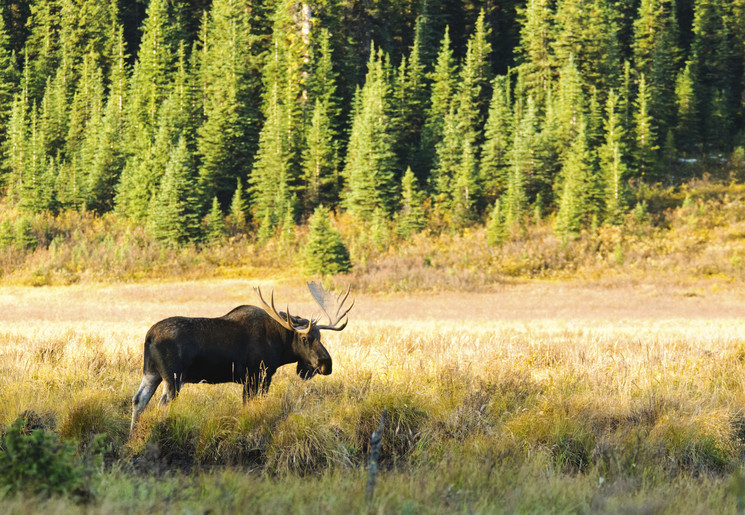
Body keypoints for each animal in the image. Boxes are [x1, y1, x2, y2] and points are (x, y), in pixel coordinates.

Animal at [129, 282, 354, 432]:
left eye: (321, 336)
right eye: (306, 338)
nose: (326, 364)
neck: (280, 345)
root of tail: (149, 337)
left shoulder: (251, 379)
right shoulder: (258, 375)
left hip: (151, 373)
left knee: (138, 400)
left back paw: (132, 437)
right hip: (174, 378)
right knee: (161, 404)